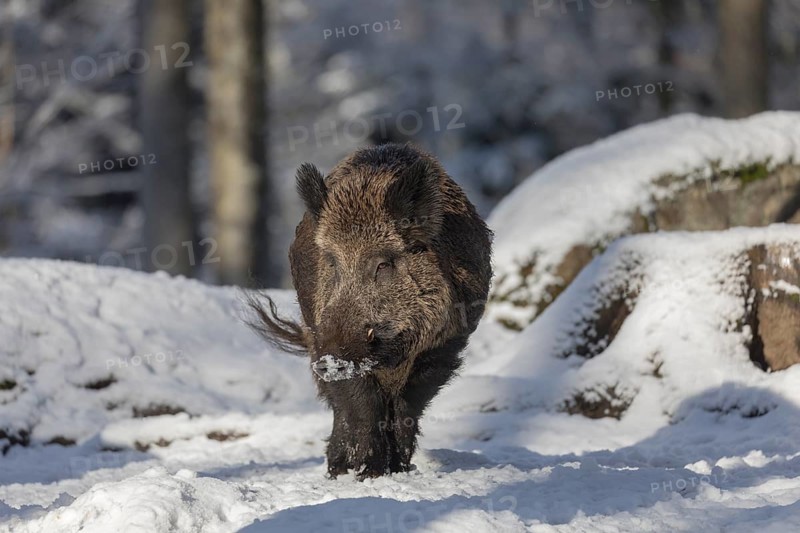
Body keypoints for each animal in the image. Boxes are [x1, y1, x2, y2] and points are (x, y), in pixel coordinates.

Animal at [248, 143, 492, 480]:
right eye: (332, 261)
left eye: (383, 264)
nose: (331, 359)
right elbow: (360, 405)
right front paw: (367, 473)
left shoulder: (443, 347)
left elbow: (406, 408)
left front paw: (397, 470)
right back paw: (336, 469)